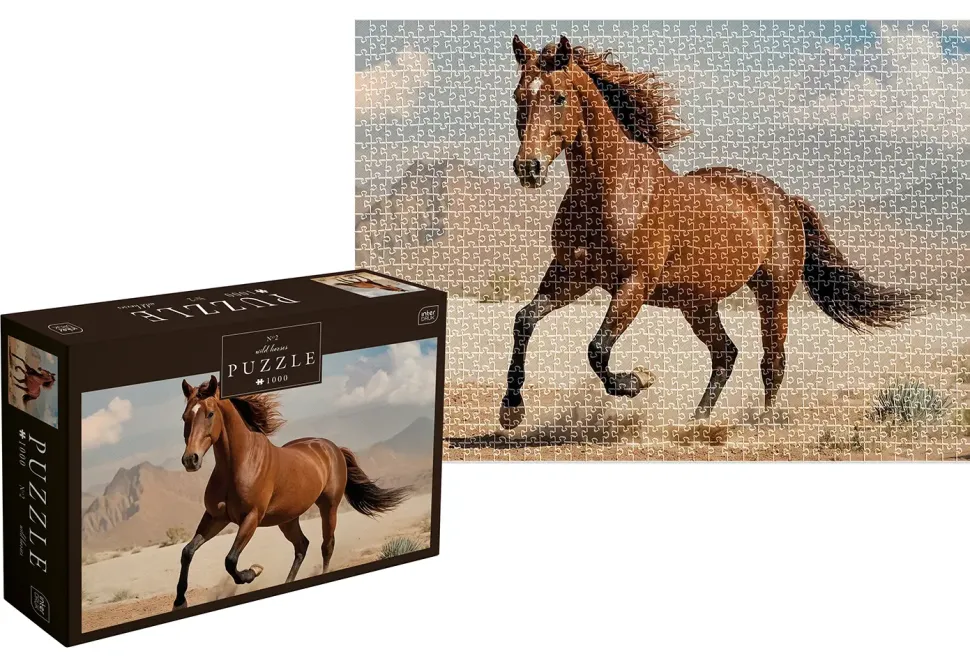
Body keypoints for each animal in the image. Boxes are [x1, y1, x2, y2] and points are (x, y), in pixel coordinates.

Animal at [172, 375, 408, 610]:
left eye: (210, 414)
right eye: (185, 416)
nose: (190, 460)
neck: (239, 464)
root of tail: (333, 448)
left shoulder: (251, 518)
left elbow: (230, 561)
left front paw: (253, 571)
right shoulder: (216, 517)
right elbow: (187, 552)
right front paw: (179, 601)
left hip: (328, 507)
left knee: (326, 545)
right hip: (287, 519)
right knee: (302, 545)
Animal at [499, 36, 919, 429]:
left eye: (558, 97)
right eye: (519, 96)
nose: (528, 168)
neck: (612, 188)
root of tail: (785, 199)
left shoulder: (634, 284)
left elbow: (597, 349)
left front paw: (638, 380)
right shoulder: (571, 275)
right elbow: (524, 320)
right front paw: (511, 410)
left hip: (773, 294)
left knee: (772, 361)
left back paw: (761, 422)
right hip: (698, 303)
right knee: (726, 354)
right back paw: (697, 420)